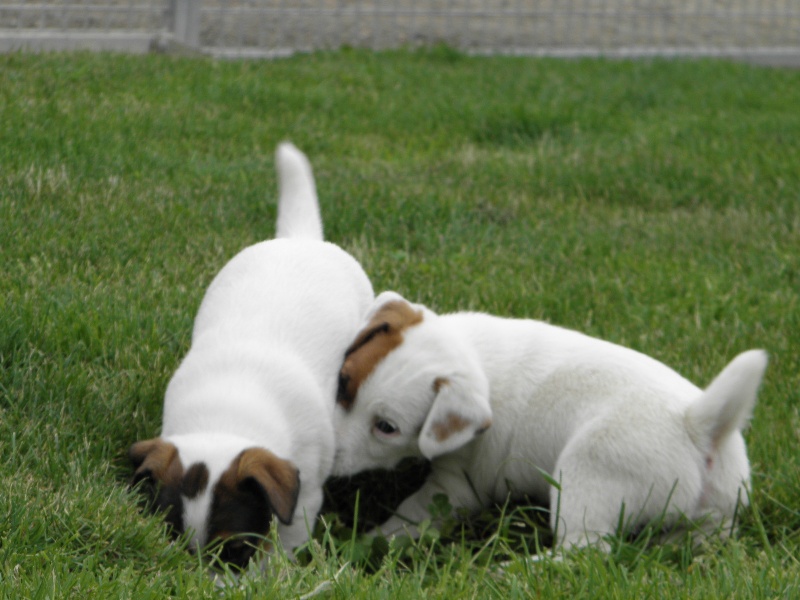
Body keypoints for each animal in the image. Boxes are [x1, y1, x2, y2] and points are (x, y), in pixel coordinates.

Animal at [130, 142, 374, 568]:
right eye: (173, 545)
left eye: (236, 551)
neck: (227, 416)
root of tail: (299, 237)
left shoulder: (305, 494)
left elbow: (287, 538)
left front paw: (272, 572)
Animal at [332, 292, 768, 552]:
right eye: (342, 383)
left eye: (386, 427)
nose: (323, 455)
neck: (474, 355)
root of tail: (697, 424)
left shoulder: (456, 487)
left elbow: (406, 517)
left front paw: (361, 544)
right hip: (714, 520)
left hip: (583, 477)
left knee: (585, 551)